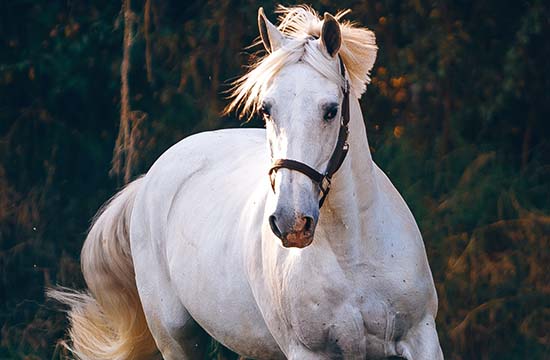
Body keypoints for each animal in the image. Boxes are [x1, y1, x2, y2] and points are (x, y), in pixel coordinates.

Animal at [50, 6, 444, 360]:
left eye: (331, 110)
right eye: (267, 109)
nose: (291, 223)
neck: (353, 254)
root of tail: (151, 179)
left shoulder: (421, 338)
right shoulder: (308, 352)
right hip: (178, 338)